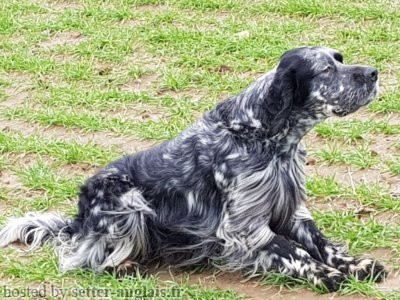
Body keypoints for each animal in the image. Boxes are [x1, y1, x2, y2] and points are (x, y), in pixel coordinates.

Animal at [0, 46, 388, 290]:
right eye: (326, 69)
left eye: (339, 58)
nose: (373, 73)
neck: (262, 134)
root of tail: (78, 220)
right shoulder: (244, 227)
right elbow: (294, 252)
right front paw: (324, 275)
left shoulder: (292, 210)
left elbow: (322, 243)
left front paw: (357, 266)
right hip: (126, 199)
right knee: (81, 258)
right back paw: (123, 266)